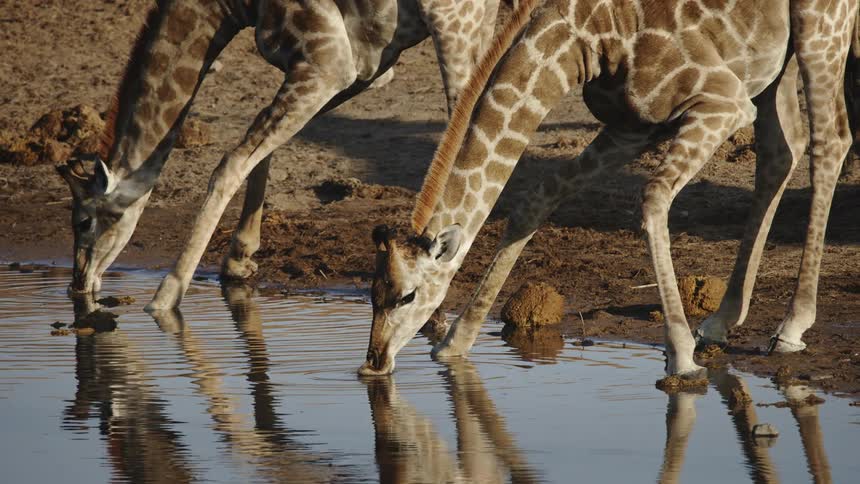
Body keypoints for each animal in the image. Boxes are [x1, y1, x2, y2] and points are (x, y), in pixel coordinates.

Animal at [55, 0, 501, 307]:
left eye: (82, 221)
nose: (78, 285)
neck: (231, 6)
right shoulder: (362, 67)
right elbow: (261, 147)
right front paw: (238, 258)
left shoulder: (327, 65)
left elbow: (231, 162)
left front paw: (167, 295)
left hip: (451, 19)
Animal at [358, 0, 857, 376]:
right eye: (372, 293)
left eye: (407, 295)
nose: (374, 362)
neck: (582, 43)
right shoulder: (631, 129)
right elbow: (538, 198)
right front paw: (453, 344)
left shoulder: (722, 103)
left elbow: (653, 198)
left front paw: (681, 357)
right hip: (775, 60)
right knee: (781, 151)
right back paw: (721, 320)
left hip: (819, 29)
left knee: (830, 140)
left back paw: (791, 326)